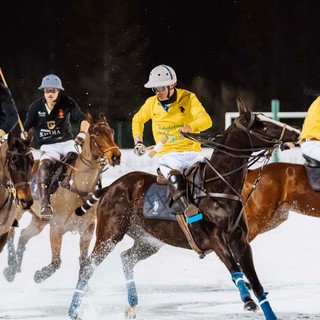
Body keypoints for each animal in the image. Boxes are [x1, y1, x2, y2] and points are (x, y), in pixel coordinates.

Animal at [2, 114, 121, 282]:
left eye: (111, 131)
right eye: (96, 133)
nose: (116, 156)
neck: (79, 186)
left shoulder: (88, 229)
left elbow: (84, 262)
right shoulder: (56, 227)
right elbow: (56, 262)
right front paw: (39, 275)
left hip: (40, 219)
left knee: (24, 234)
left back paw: (16, 266)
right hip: (19, 208)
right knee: (12, 232)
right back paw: (11, 268)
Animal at [67, 97, 300, 320]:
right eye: (262, 125)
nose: (296, 132)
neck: (218, 185)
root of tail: (110, 187)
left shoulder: (241, 241)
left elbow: (257, 284)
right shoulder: (215, 239)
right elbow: (235, 270)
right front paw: (247, 300)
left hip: (148, 240)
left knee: (126, 258)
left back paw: (131, 305)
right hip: (110, 234)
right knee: (87, 266)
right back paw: (73, 311)